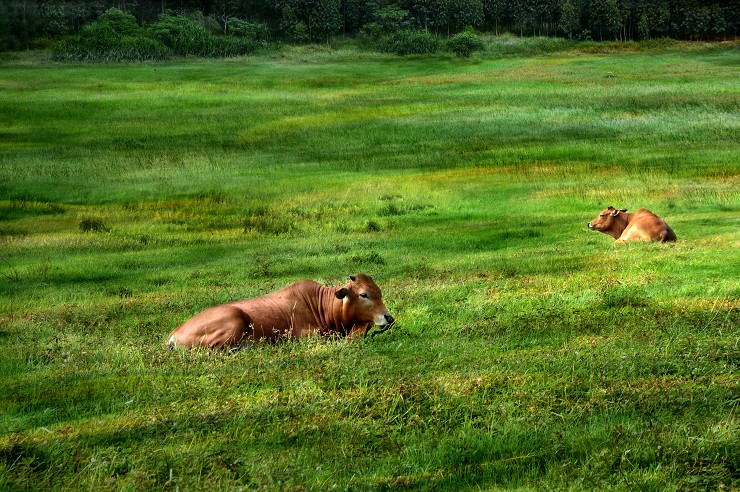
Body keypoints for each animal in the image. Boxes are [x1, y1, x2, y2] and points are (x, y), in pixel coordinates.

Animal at [165, 272, 396, 350]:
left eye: (379, 292)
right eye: (364, 294)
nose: (389, 317)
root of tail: (174, 333)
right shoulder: (306, 336)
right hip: (234, 320)